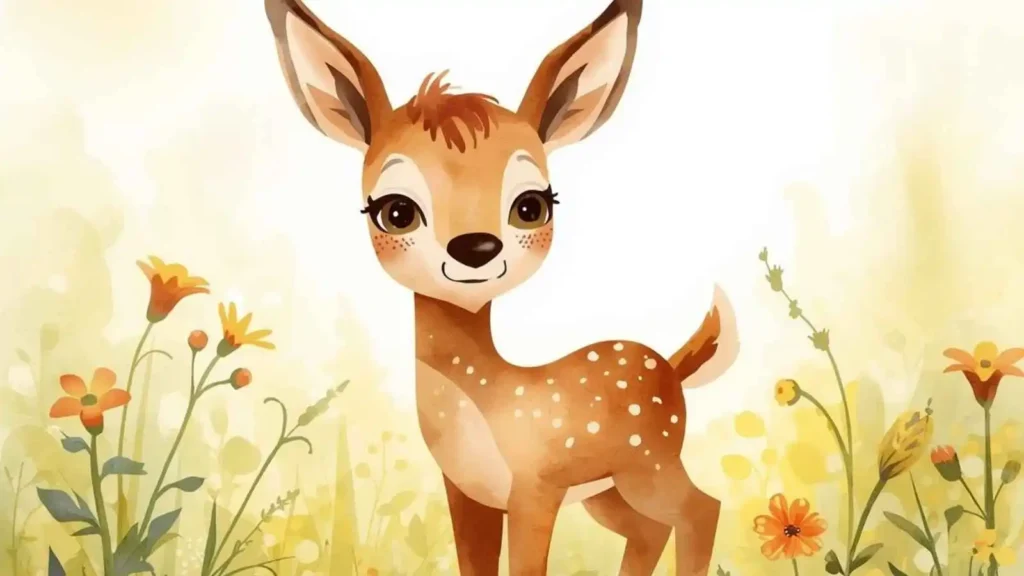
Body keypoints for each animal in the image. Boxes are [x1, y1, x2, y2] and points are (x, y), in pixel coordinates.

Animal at [264, 0, 739, 574]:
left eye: (531, 205)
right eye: (395, 210)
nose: (475, 247)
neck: (488, 402)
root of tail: (670, 366)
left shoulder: (535, 487)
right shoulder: (467, 492)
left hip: (649, 461)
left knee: (701, 509)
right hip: (608, 489)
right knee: (650, 529)